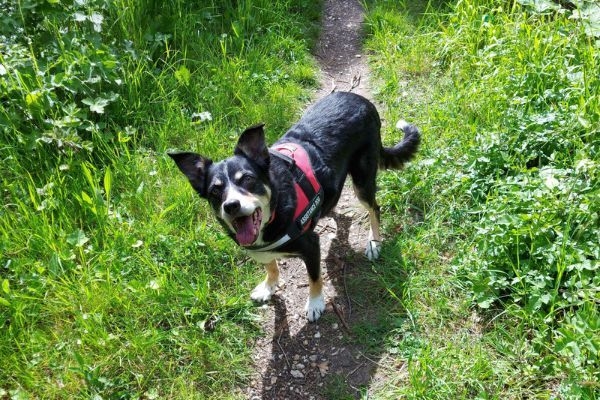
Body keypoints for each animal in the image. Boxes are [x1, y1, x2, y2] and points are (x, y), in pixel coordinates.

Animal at [170, 91, 422, 322]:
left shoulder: (311, 245)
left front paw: (315, 303)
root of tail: (362, 101)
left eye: (248, 179)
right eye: (215, 190)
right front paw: (268, 286)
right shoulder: (262, 250)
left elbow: (314, 278)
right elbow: (271, 266)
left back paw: (374, 242)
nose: (231, 205)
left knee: (374, 208)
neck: (275, 209)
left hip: (363, 178)